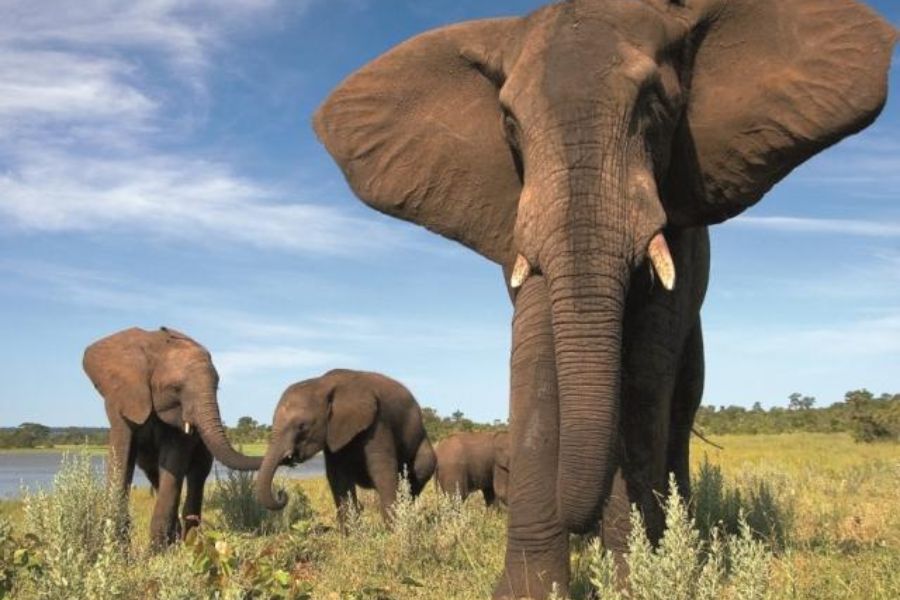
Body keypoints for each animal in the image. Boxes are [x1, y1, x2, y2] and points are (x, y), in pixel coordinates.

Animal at [83, 327, 261, 547]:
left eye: (217, 387)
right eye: (176, 388)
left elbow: (174, 460)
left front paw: (157, 551)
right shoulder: (121, 398)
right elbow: (121, 457)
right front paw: (114, 547)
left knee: (197, 474)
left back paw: (189, 541)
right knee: (154, 473)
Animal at [255, 369, 437, 525]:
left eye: (302, 426)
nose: (281, 493)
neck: (322, 383)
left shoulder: (378, 422)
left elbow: (382, 471)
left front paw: (393, 532)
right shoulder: (334, 433)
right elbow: (338, 478)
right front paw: (351, 535)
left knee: (418, 474)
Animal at [311, 0, 895, 596]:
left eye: (655, 105)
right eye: (509, 122)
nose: (577, 520)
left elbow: (642, 374)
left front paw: (637, 576)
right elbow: (536, 360)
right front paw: (531, 590)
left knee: (678, 406)